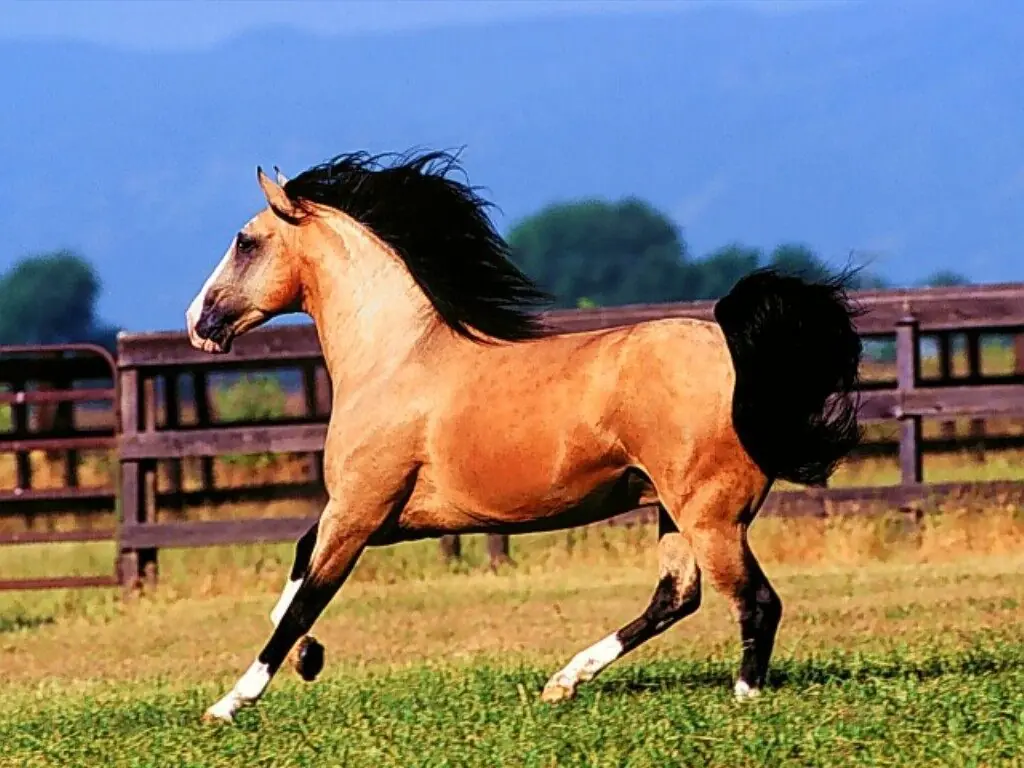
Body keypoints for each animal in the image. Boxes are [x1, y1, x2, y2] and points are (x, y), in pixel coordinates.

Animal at [185, 150, 862, 723]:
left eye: (245, 242)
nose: (197, 322)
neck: (395, 360)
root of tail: (734, 348)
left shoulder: (359, 510)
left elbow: (309, 595)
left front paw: (230, 704)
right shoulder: (390, 517)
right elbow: (300, 569)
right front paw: (309, 657)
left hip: (709, 514)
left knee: (754, 600)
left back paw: (744, 697)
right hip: (675, 510)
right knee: (678, 595)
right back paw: (564, 682)